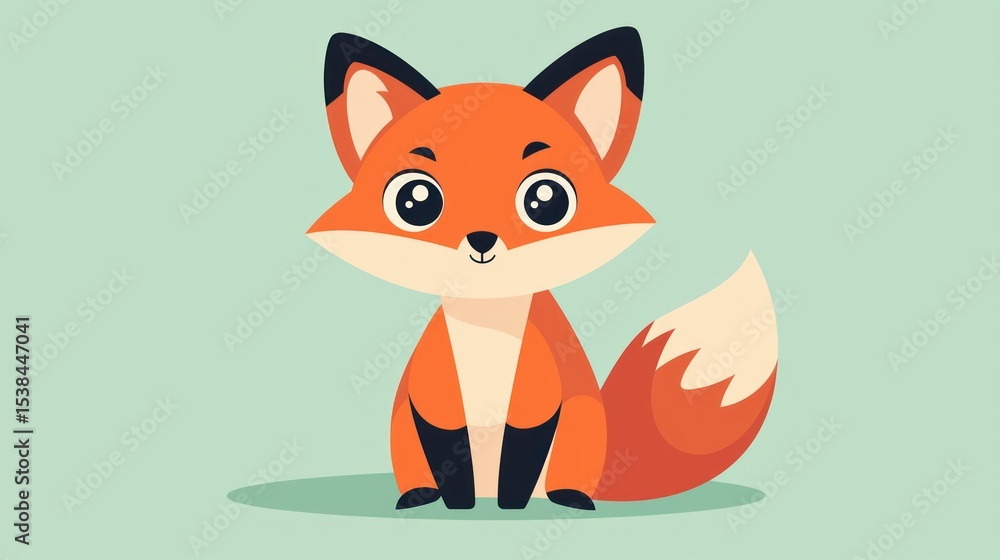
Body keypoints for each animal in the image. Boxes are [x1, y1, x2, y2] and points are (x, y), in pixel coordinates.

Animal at [308, 27, 778, 511]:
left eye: (546, 199)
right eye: (415, 201)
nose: (481, 241)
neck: (487, 339)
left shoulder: (538, 403)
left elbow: (520, 459)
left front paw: (509, 508)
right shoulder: (434, 404)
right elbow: (450, 460)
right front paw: (462, 507)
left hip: (581, 429)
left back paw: (568, 497)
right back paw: (419, 496)